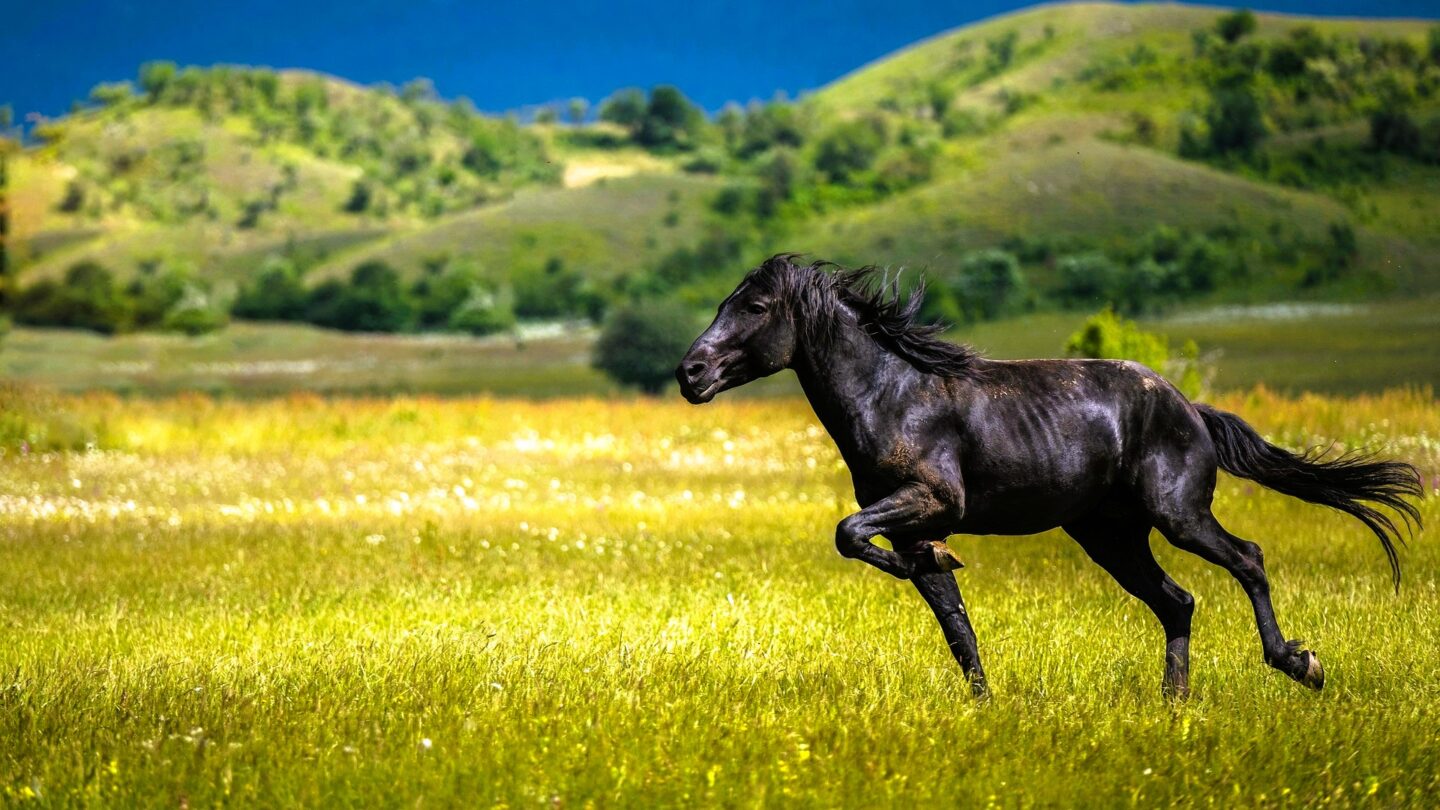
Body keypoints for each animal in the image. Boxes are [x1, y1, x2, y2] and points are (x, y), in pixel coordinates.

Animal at [674, 254, 1423, 698]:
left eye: (756, 307)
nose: (690, 373)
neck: (895, 396)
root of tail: (1190, 408)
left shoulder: (931, 500)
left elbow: (848, 532)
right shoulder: (913, 524)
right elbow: (951, 619)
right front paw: (980, 701)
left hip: (1178, 515)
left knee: (1248, 559)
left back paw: (1300, 664)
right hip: (1110, 537)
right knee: (1177, 601)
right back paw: (1174, 706)